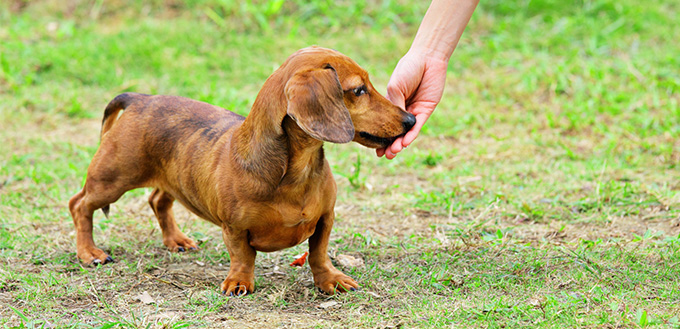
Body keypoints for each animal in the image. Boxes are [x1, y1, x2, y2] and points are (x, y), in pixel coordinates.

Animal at [71, 46, 418, 294]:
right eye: (358, 90)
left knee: (157, 200)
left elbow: (319, 253)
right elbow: (242, 255)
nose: (411, 120)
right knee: (79, 205)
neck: (296, 171)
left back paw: (176, 240)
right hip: (112, 178)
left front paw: (330, 280)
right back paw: (89, 252)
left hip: (170, 178)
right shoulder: (234, 227)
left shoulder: (325, 218)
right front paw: (239, 282)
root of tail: (139, 98)